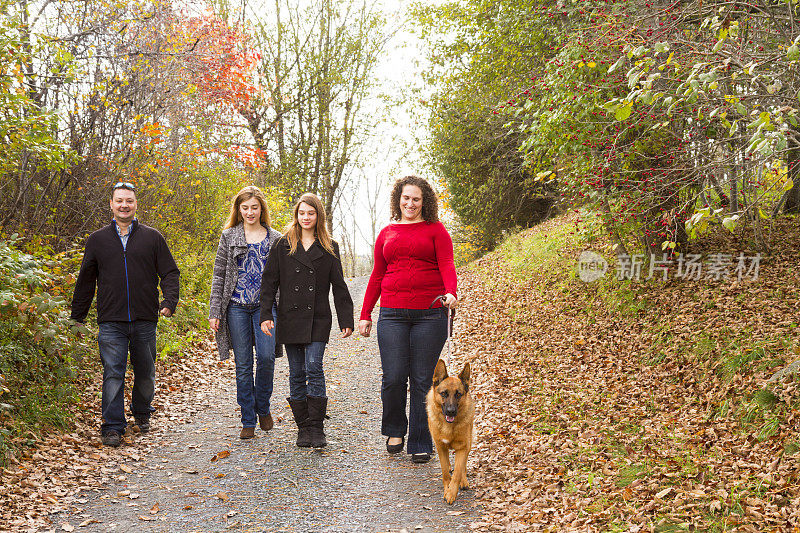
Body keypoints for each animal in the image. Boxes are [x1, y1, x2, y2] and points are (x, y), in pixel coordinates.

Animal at [428, 358, 472, 502]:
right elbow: (445, 472)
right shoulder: (441, 447)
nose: (451, 411)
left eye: (458, 394)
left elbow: (458, 471)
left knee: (463, 466)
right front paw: (447, 489)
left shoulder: (463, 447)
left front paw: (452, 492)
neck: (449, 427)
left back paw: (464, 481)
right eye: (444, 393)